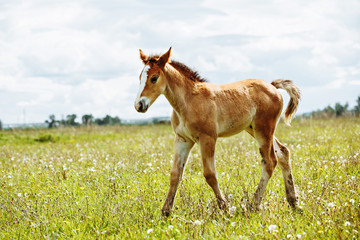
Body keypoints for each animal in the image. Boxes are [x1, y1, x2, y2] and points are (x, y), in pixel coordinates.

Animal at [134, 47, 300, 216]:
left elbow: (210, 174)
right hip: (254, 129)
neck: (189, 101)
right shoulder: (182, 139)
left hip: (263, 129)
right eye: (140, 77)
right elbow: (175, 174)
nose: (139, 105)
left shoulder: (208, 138)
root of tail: (272, 86)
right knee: (283, 153)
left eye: (154, 78)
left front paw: (225, 207)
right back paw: (293, 202)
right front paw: (166, 212)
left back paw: (253, 205)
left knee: (269, 161)